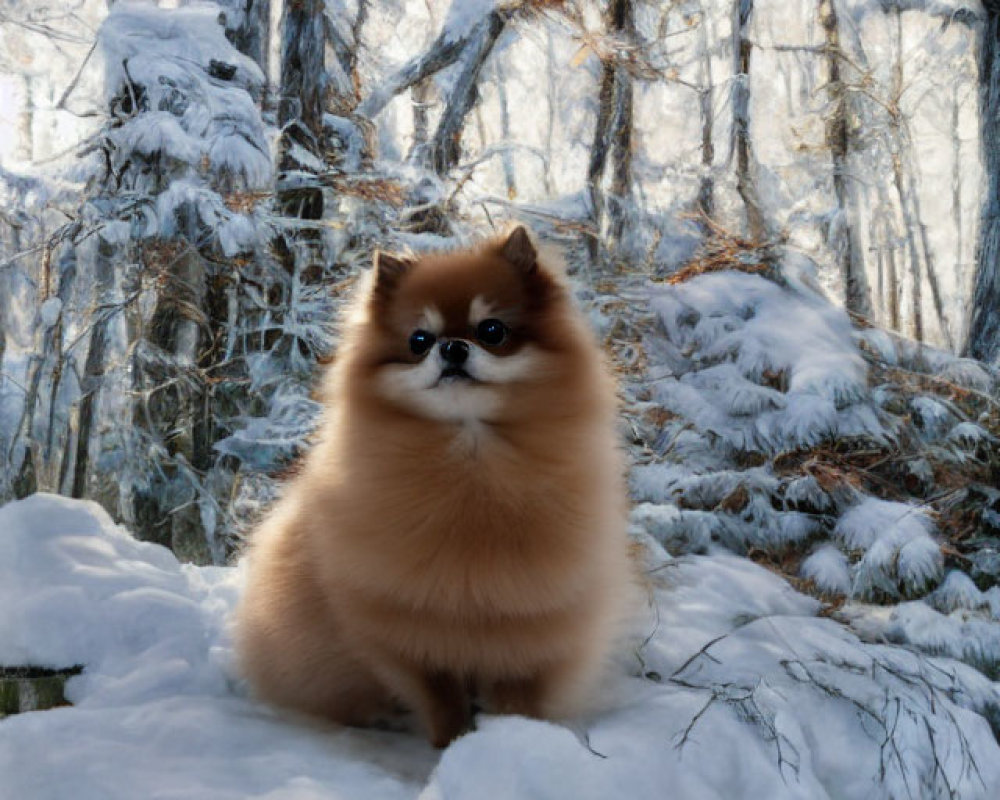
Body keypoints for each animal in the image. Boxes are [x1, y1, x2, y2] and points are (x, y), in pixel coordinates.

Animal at [234, 227, 632, 752]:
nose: (452, 348)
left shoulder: (525, 632)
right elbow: (442, 705)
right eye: (419, 340)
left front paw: (514, 742)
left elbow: (518, 702)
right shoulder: (411, 634)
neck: (471, 463)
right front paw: (452, 747)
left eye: (491, 331)